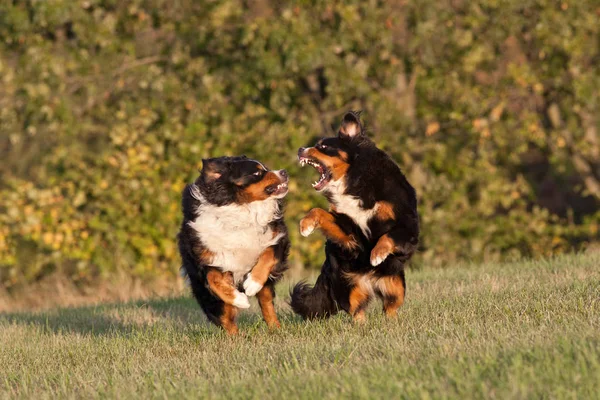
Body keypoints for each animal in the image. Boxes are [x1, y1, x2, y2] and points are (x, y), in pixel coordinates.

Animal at [177, 156, 290, 334]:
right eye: (257, 173)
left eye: (266, 168)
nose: (284, 172)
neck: (242, 209)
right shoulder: (206, 259)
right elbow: (213, 278)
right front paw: (239, 299)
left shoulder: (278, 238)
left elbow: (268, 255)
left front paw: (252, 283)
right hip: (208, 297)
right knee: (227, 320)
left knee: (266, 304)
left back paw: (276, 329)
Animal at [290, 111, 418, 322]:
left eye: (323, 147)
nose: (300, 149)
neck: (354, 181)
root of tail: (370, 281)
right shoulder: (348, 230)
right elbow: (319, 211)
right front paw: (305, 225)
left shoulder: (406, 223)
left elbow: (388, 236)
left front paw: (376, 255)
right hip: (348, 284)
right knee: (357, 310)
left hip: (395, 284)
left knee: (391, 306)